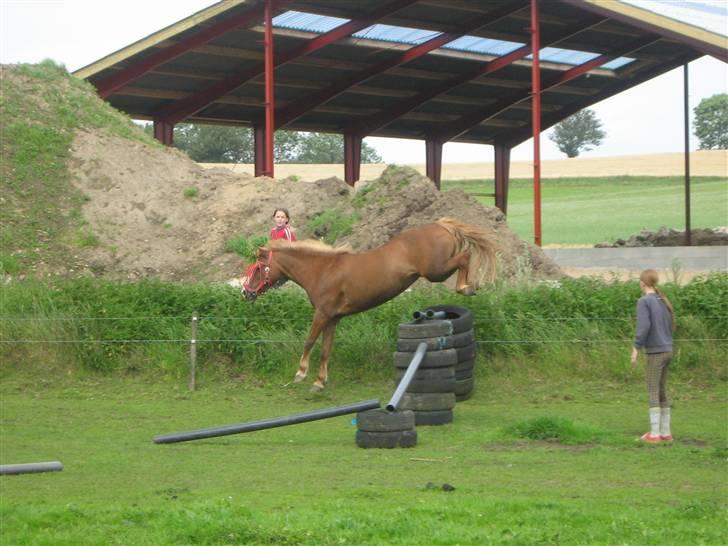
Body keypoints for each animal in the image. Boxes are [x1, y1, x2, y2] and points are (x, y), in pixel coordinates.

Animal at [242, 217, 498, 392]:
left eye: (257, 267)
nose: (246, 293)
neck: (322, 270)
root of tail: (441, 225)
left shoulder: (322, 314)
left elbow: (309, 341)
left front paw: (301, 374)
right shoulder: (332, 319)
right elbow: (325, 350)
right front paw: (319, 382)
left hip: (437, 270)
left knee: (465, 257)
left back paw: (467, 287)